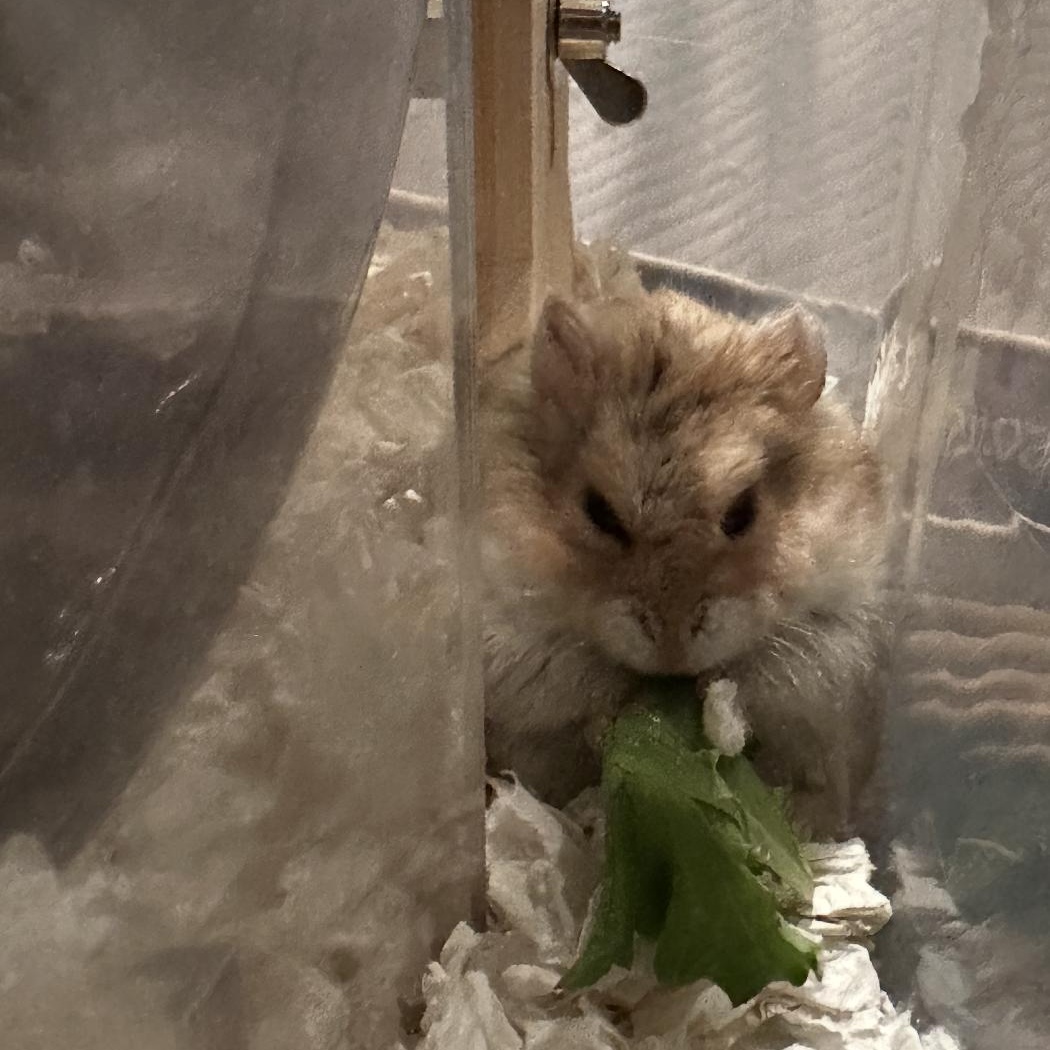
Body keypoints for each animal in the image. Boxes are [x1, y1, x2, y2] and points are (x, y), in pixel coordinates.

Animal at [479, 283, 888, 837]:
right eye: (599, 512)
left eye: (743, 511)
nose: (673, 652)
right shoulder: (520, 650)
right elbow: (584, 699)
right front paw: (620, 720)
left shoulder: (826, 646)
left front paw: (713, 702)